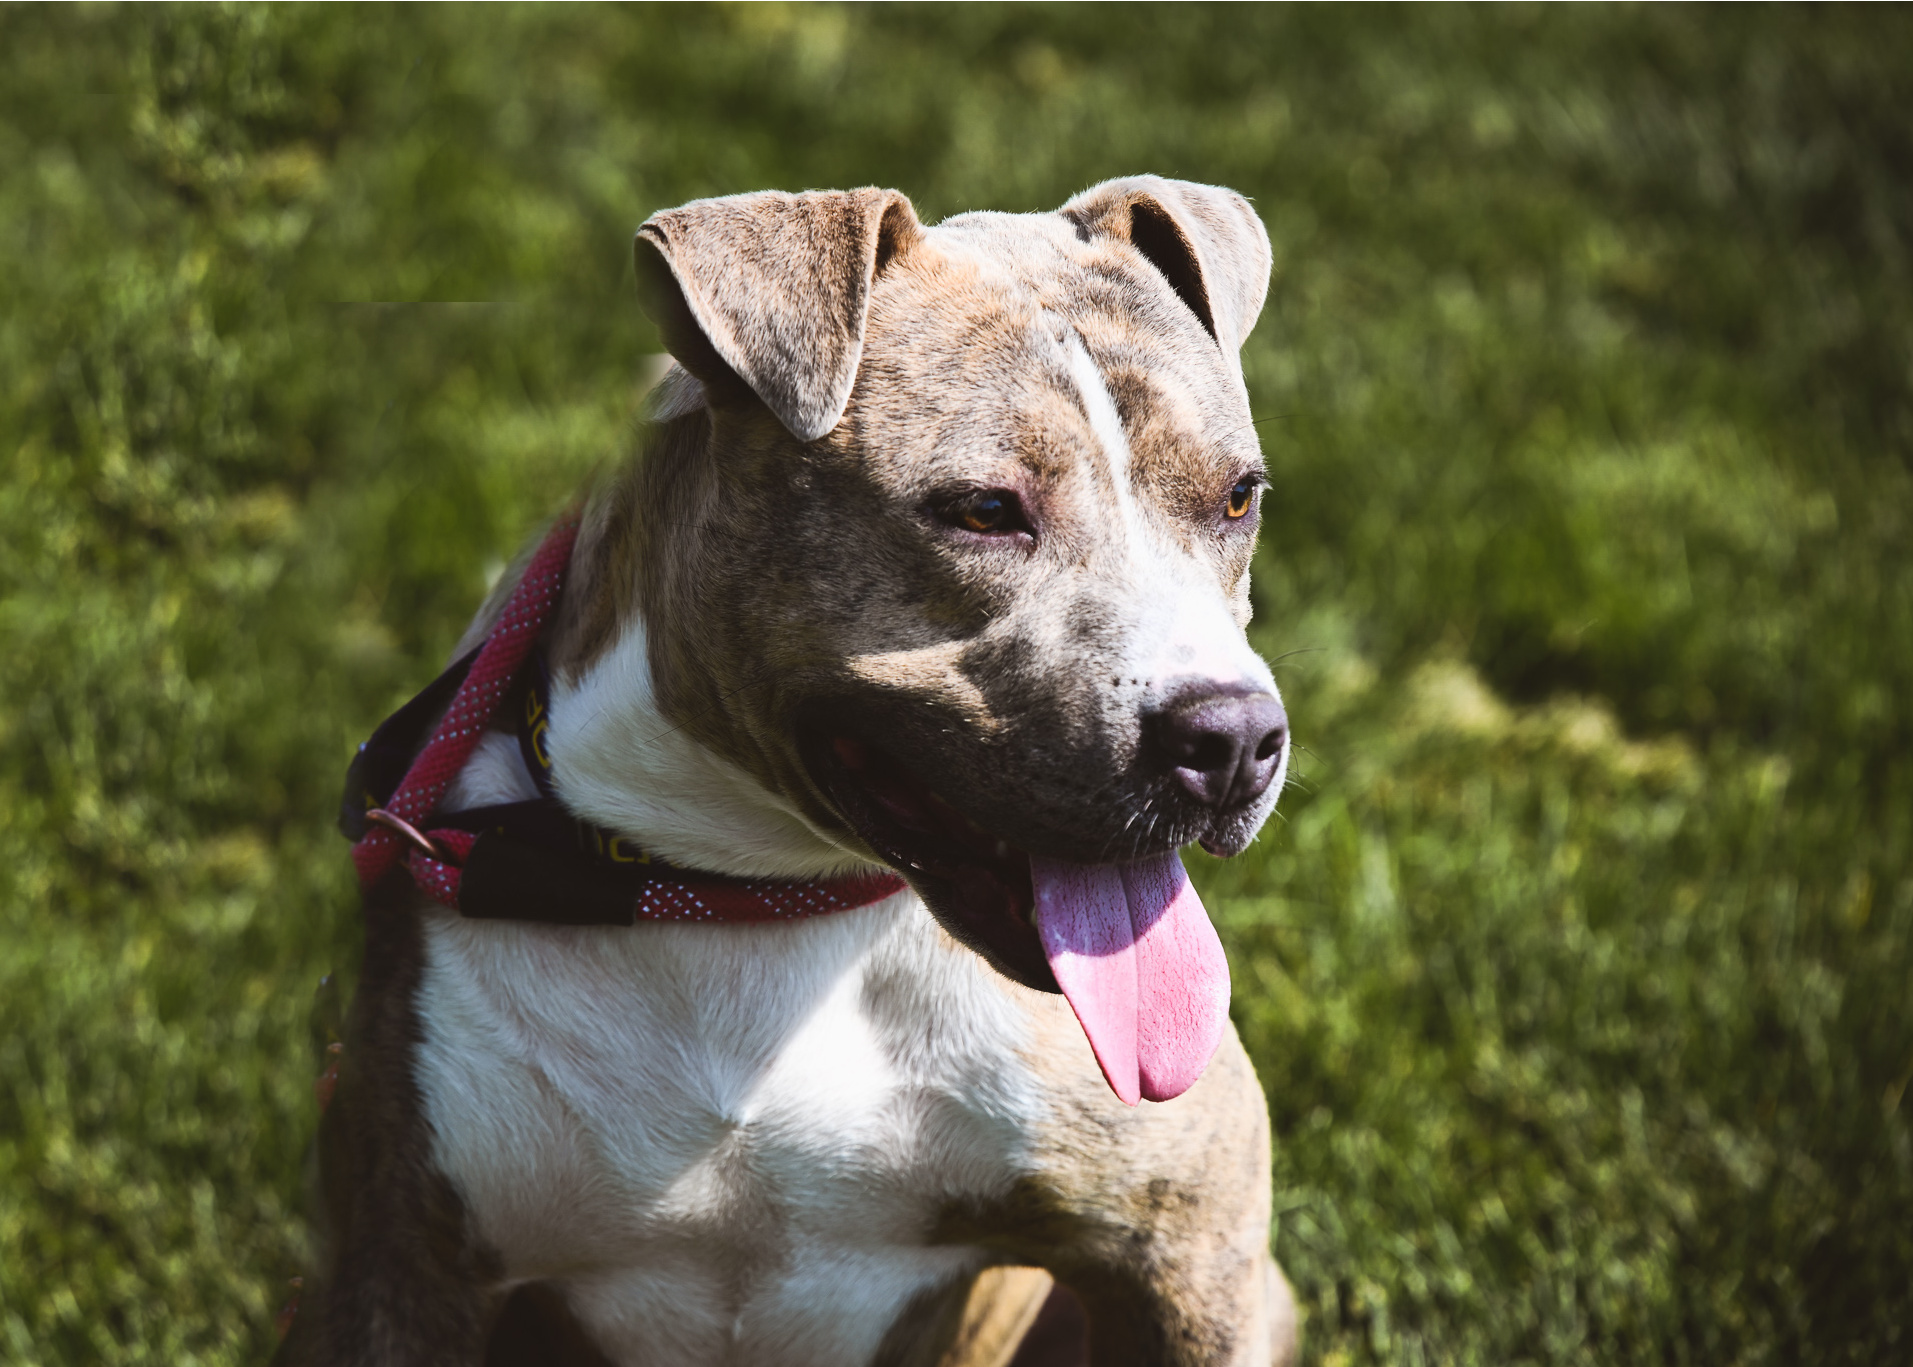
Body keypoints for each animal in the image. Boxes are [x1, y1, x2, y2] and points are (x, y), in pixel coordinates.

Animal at [279, 176, 1300, 1361]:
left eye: (1238, 497)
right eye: (983, 510)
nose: (1229, 738)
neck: (748, 887)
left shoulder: (1180, 1254)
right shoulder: (398, 1265)